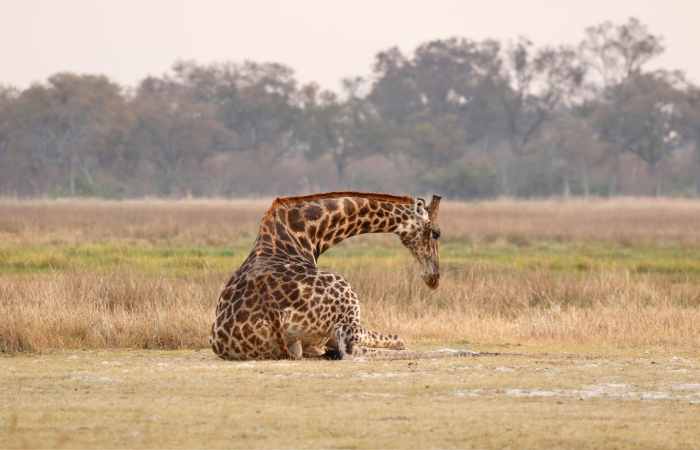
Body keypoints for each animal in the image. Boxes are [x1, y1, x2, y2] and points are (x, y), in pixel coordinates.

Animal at [212, 192, 442, 360]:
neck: (307, 235)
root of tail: (273, 317)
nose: (434, 278)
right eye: (436, 233)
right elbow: (399, 339)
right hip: (347, 301)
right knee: (352, 350)